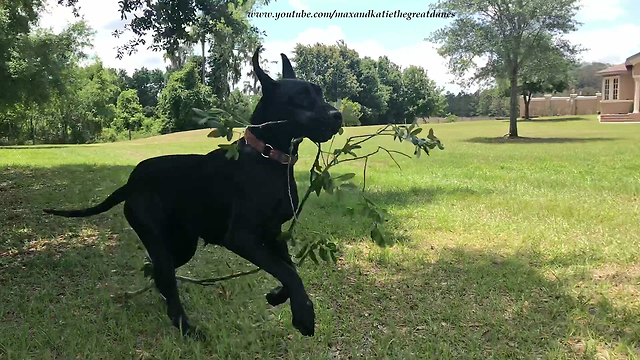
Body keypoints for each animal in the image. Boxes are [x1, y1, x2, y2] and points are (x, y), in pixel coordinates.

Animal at [42, 47, 342, 338]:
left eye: (319, 92)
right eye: (301, 97)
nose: (338, 115)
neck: (266, 157)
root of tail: (132, 181)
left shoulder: (274, 233)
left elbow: (290, 268)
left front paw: (280, 297)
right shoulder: (242, 237)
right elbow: (287, 271)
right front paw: (304, 315)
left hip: (184, 243)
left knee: (161, 275)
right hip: (159, 237)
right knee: (166, 279)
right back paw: (186, 328)